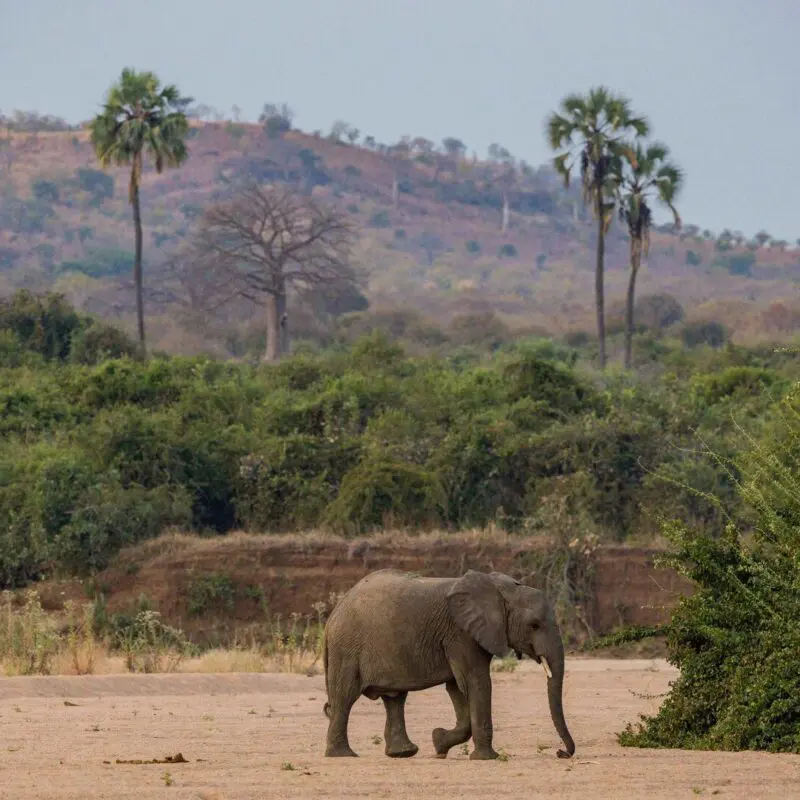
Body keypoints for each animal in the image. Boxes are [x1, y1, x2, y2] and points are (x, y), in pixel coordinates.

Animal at [322, 568, 575, 760]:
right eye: (534, 625)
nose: (560, 752)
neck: (499, 589)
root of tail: (333, 614)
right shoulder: (461, 634)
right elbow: (476, 682)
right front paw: (486, 759)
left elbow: (457, 687)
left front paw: (438, 743)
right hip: (346, 648)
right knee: (345, 697)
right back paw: (343, 755)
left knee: (394, 699)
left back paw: (402, 753)